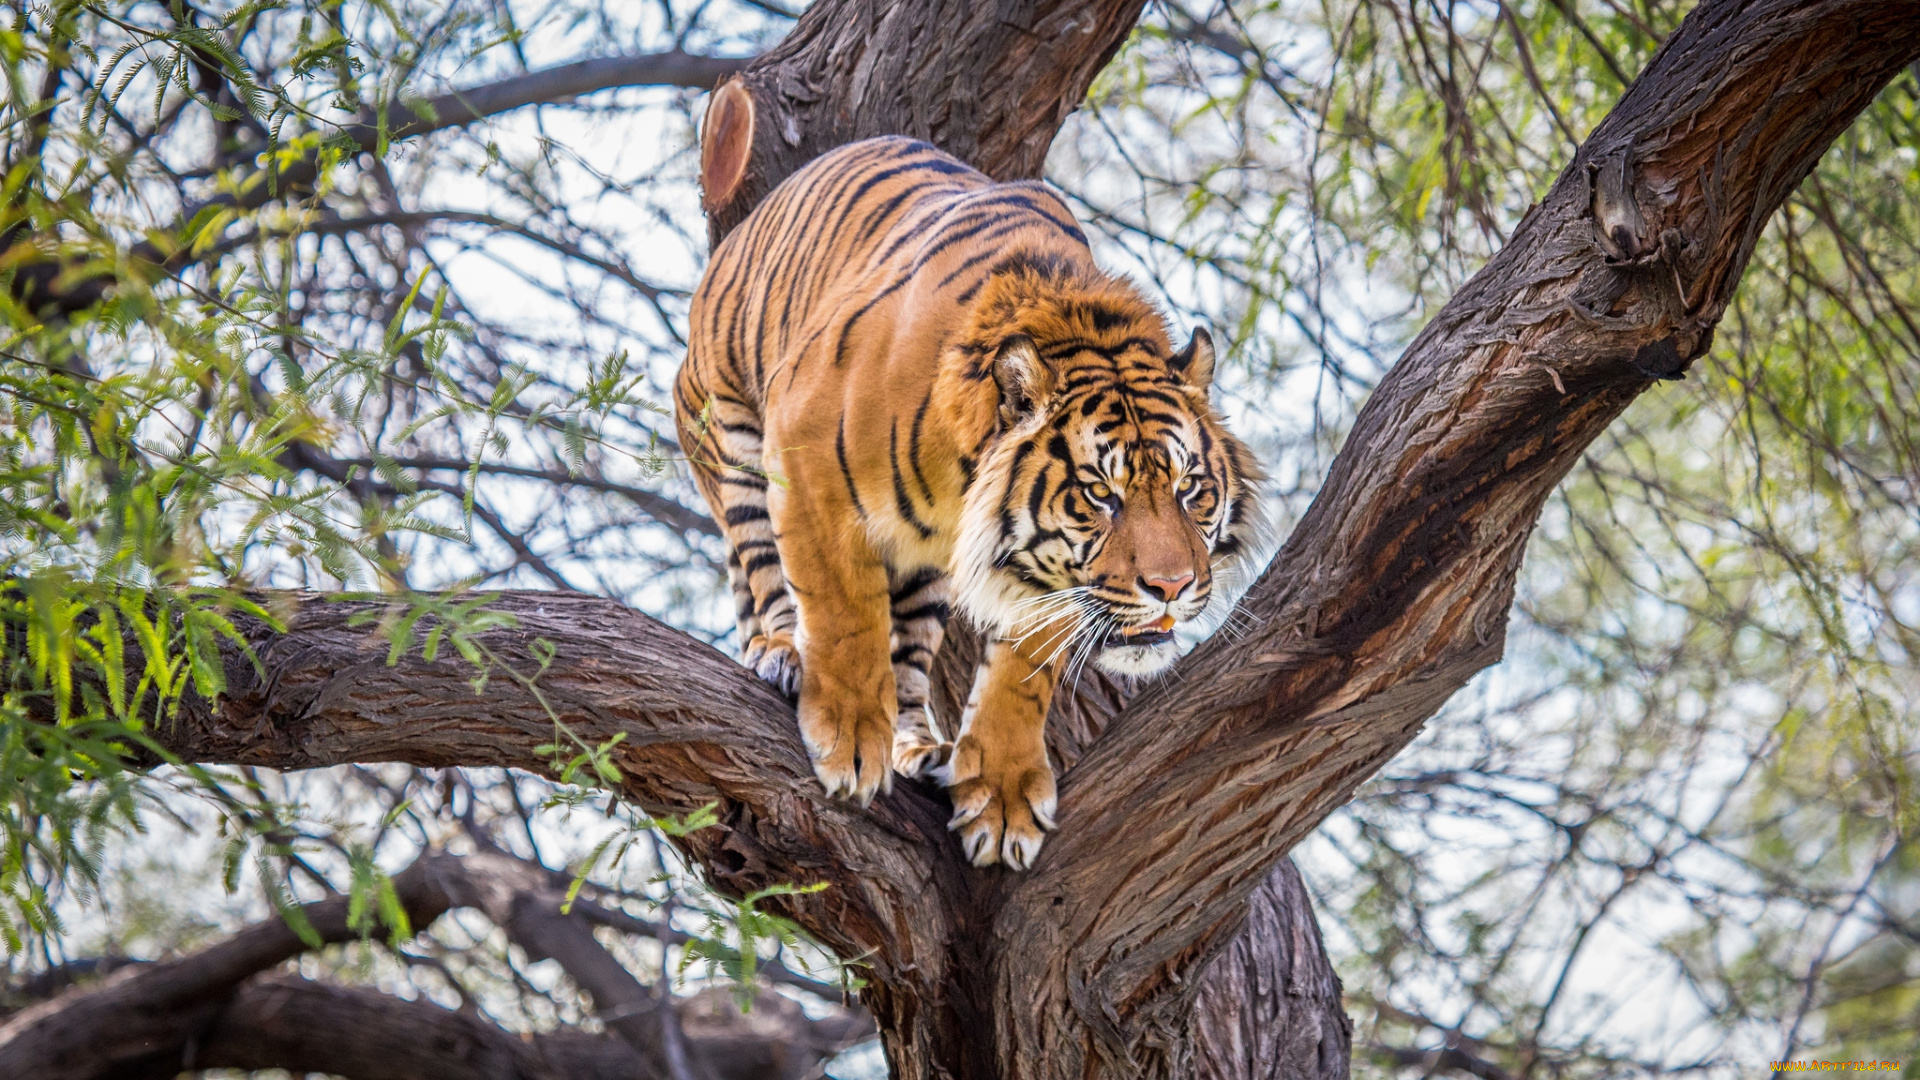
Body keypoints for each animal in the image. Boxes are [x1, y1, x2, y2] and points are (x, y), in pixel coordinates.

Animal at [679, 134, 1274, 868]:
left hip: (927, 573)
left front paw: (1002, 796)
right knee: (762, 570)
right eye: (1100, 494)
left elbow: (1021, 674)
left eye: (1190, 488)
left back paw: (919, 748)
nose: (1172, 586)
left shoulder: (1040, 575)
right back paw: (784, 653)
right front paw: (849, 737)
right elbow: (844, 611)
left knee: (907, 660)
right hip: (727, 432)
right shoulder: (804, 456)